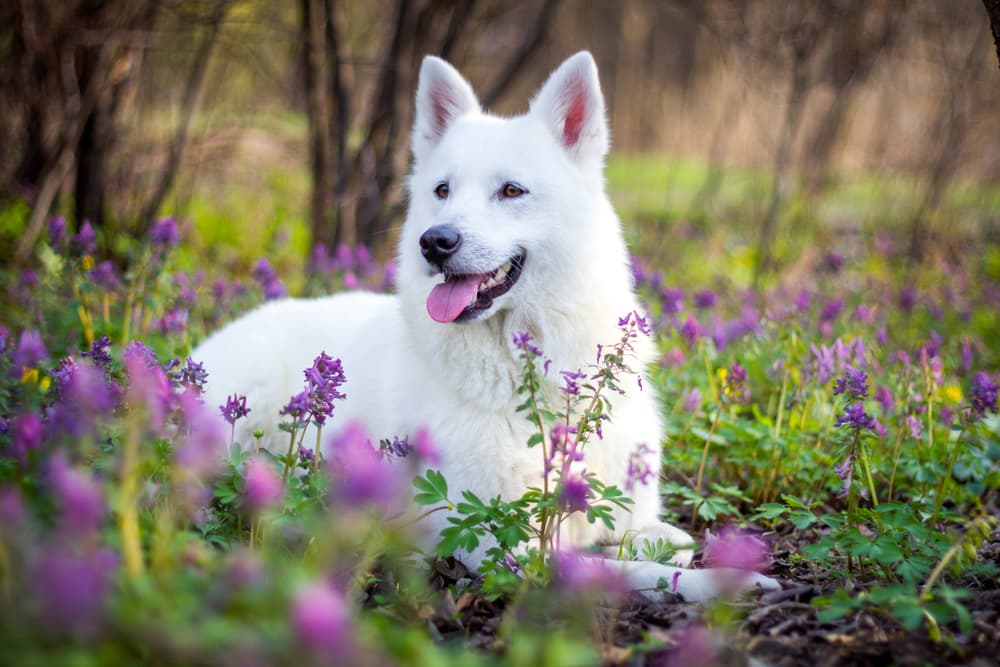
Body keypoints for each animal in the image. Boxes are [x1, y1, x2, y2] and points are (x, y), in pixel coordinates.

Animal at [191, 52, 776, 604]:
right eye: (442, 190)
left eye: (512, 191)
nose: (435, 241)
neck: (535, 376)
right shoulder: (504, 543)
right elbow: (629, 571)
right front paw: (725, 581)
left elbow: (655, 537)